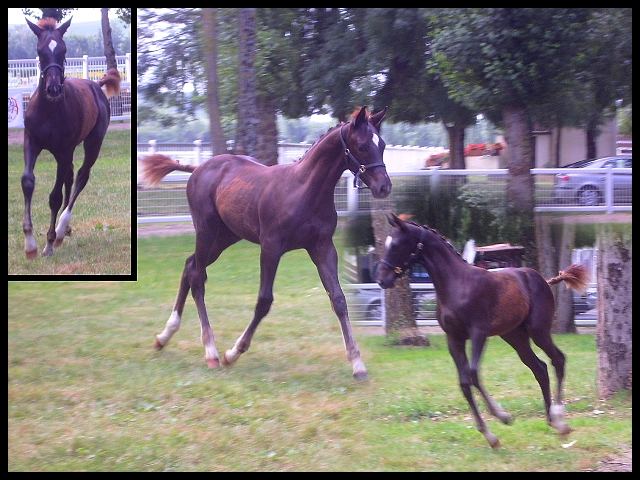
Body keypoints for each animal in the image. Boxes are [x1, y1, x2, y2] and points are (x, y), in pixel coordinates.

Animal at [21, 17, 120, 258]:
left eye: (64, 50)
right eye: (40, 51)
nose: (54, 89)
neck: (49, 109)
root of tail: (96, 84)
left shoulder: (64, 149)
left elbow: (54, 197)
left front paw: (47, 243)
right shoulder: (32, 141)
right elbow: (28, 181)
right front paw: (29, 243)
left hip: (92, 143)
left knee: (81, 176)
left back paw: (61, 229)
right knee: (70, 176)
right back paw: (64, 230)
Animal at [140, 106, 390, 378]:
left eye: (382, 144)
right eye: (362, 146)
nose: (384, 187)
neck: (304, 190)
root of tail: (198, 168)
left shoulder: (322, 247)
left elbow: (339, 299)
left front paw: (357, 363)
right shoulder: (271, 247)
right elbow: (264, 300)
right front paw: (233, 353)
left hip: (226, 236)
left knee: (190, 265)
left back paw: (164, 337)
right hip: (206, 231)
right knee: (197, 275)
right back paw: (211, 351)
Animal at [378, 216, 588, 448]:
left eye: (397, 245)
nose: (382, 279)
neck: (456, 284)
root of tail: (541, 278)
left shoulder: (478, 333)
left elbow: (473, 374)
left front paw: (503, 417)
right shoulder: (454, 338)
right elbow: (464, 382)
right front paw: (490, 436)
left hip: (538, 330)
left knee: (557, 359)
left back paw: (560, 419)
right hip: (515, 336)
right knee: (540, 368)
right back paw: (551, 419)